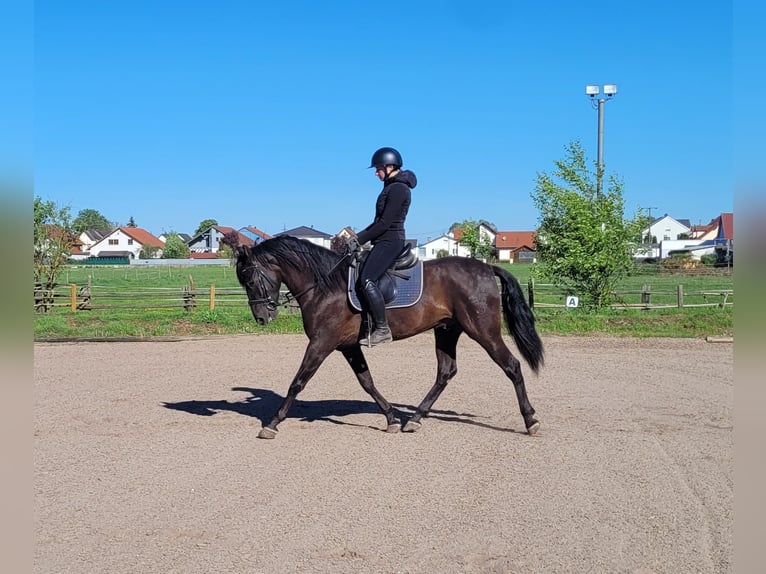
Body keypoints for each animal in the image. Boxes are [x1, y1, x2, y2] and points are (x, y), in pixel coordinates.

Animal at [222, 232, 544, 439]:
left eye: (249, 277)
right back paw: (414, 419)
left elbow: (298, 382)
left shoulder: (321, 343)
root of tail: (487, 268)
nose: (262, 318)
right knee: (445, 372)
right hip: (446, 330)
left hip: (483, 330)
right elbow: (367, 382)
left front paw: (272, 423)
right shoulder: (347, 346)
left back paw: (530, 420)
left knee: (512, 366)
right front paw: (390, 418)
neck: (324, 286)